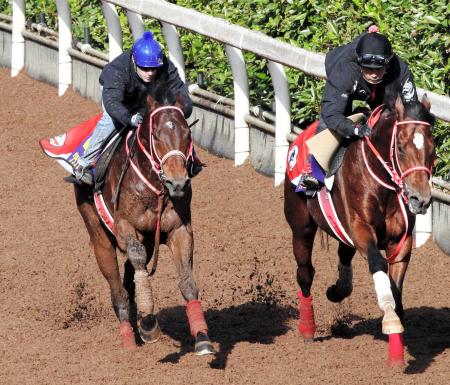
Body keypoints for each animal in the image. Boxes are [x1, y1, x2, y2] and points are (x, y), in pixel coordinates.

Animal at [74, 86, 214, 354]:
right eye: (156, 136)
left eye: (187, 134)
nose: (178, 182)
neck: (155, 189)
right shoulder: (124, 227)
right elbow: (136, 262)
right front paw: (149, 322)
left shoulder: (179, 229)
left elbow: (187, 282)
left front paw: (202, 337)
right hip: (98, 236)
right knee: (118, 290)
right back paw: (129, 338)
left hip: (149, 240)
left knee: (129, 279)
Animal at [284, 91, 436, 366]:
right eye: (400, 148)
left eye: (432, 148)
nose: (420, 199)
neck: (383, 184)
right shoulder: (361, 229)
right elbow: (378, 265)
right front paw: (390, 321)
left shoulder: (401, 241)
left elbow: (396, 290)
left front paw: (396, 350)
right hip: (301, 227)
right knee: (305, 272)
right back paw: (308, 329)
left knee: (344, 256)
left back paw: (337, 290)